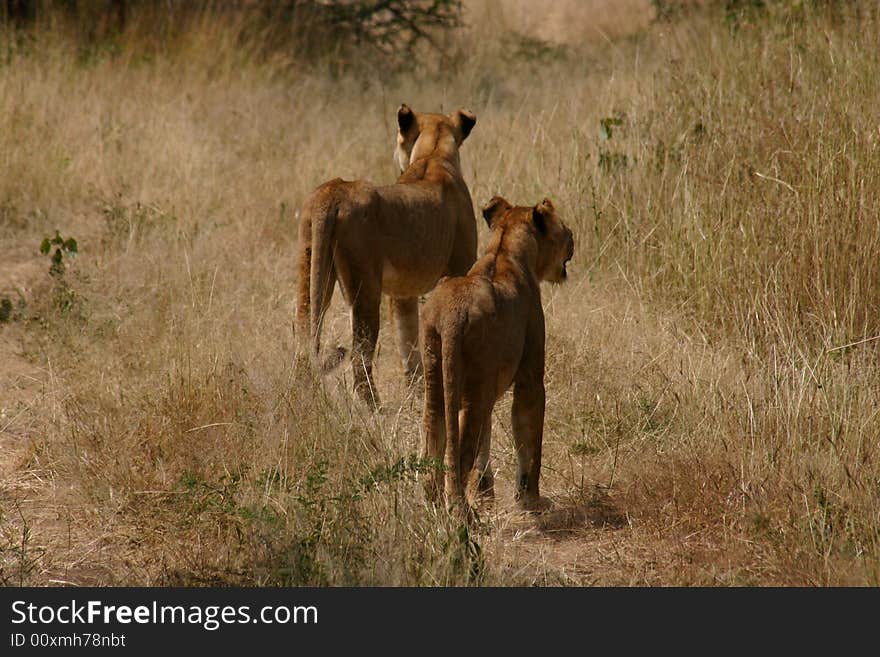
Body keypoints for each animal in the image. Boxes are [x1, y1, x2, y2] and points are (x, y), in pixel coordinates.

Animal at [296, 104, 478, 404]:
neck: (433, 154)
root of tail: (332, 194)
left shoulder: (402, 294)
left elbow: (408, 344)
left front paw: (418, 395)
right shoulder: (459, 270)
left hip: (311, 271)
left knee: (304, 339)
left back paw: (303, 397)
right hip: (365, 287)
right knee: (359, 355)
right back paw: (375, 408)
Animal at [422, 195, 576, 512]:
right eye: (565, 230)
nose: (574, 241)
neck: (503, 250)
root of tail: (452, 315)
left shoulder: (487, 391)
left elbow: (486, 439)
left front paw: (484, 493)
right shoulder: (530, 376)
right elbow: (529, 437)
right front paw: (530, 499)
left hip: (437, 379)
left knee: (435, 440)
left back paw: (432, 507)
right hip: (475, 387)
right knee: (461, 452)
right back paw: (461, 514)